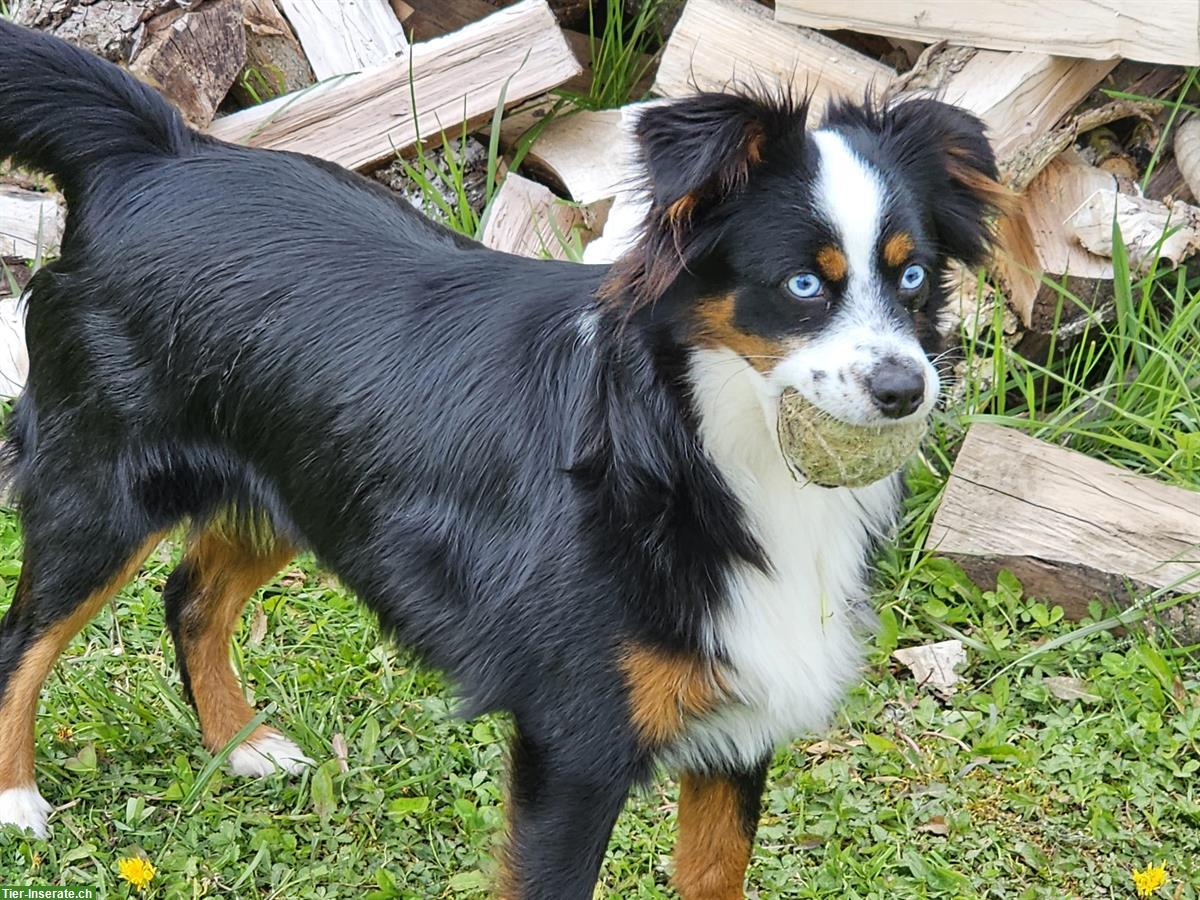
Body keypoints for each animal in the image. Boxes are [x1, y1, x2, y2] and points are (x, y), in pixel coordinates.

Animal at [0, 17, 1008, 897]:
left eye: (913, 276)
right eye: (804, 284)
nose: (905, 390)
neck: (701, 449)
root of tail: (159, 151)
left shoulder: (740, 724)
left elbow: (714, 874)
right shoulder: (575, 743)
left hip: (305, 478)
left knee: (191, 594)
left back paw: (239, 741)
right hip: (100, 488)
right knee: (24, 639)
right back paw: (16, 801)